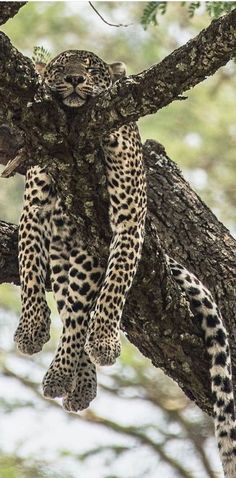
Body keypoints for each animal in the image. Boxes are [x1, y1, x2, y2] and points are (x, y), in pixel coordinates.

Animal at [15, 49, 236, 478]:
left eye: (91, 68)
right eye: (59, 67)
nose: (73, 79)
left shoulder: (128, 221)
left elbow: (115, 285)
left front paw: (103, 340)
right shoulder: (33, 214)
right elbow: (31, 272)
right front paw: (30, 331)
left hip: (85, 252)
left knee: (79, 314)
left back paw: (69, 374)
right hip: (67, 251)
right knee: (71, 311)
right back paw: (75, 380)